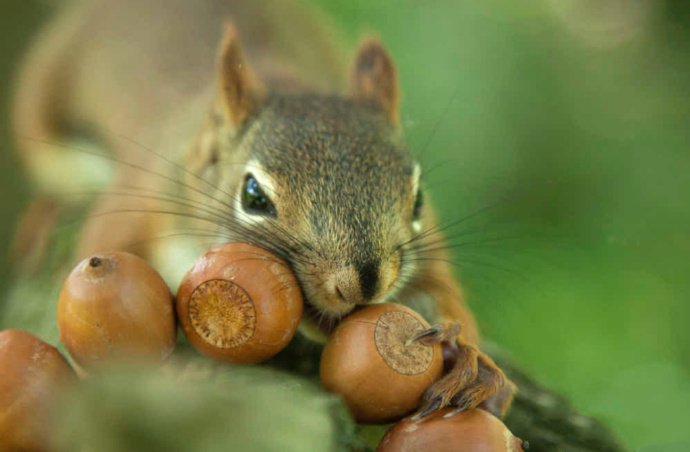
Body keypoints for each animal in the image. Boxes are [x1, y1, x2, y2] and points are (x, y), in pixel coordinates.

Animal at [13, 0, 512, 418]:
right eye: (253, 195)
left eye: (419, 198)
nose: (365, 283)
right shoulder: (141, 201)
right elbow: (99, 259)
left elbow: (444, 292)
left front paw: (472, 362)